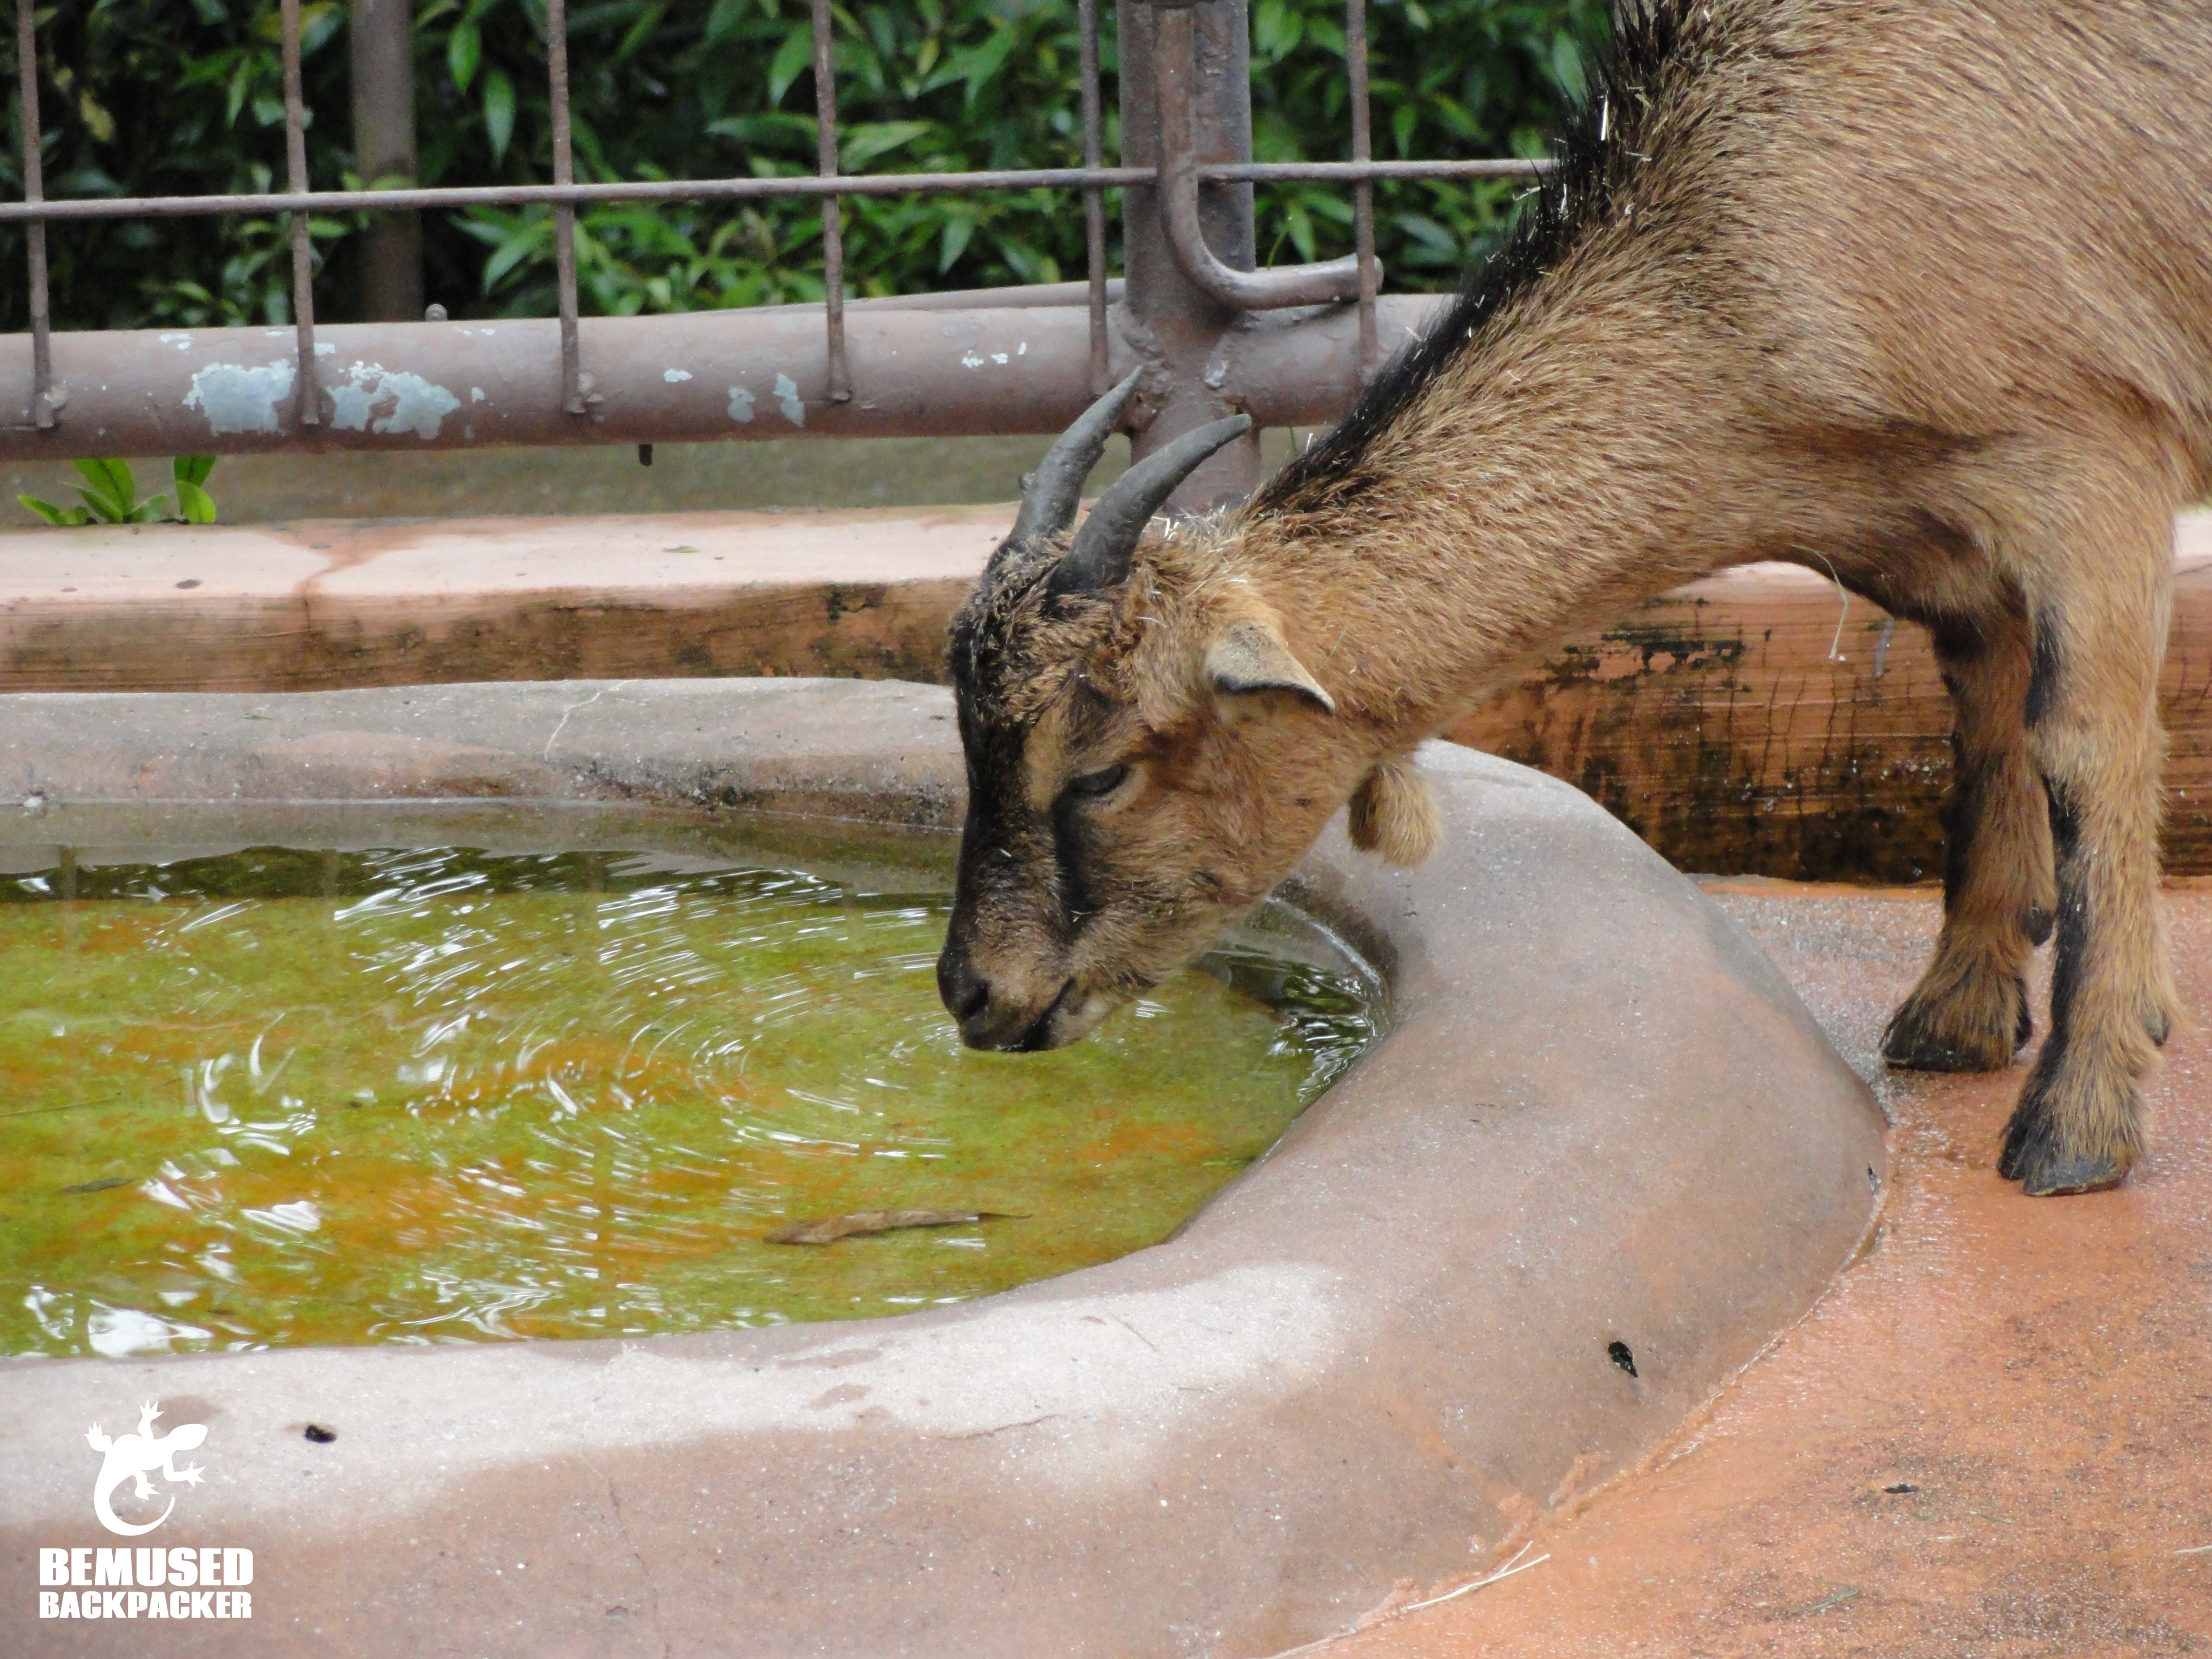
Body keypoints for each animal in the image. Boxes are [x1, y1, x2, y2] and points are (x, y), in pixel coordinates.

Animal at [938, 0, 2212, 1198]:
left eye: (1099, 772)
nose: (972, 992)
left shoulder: (2096, 457)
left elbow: (2080, 748)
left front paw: (2077, 1123)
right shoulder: (1948, 537)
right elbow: (1986, 726)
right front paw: (1960, 1014)